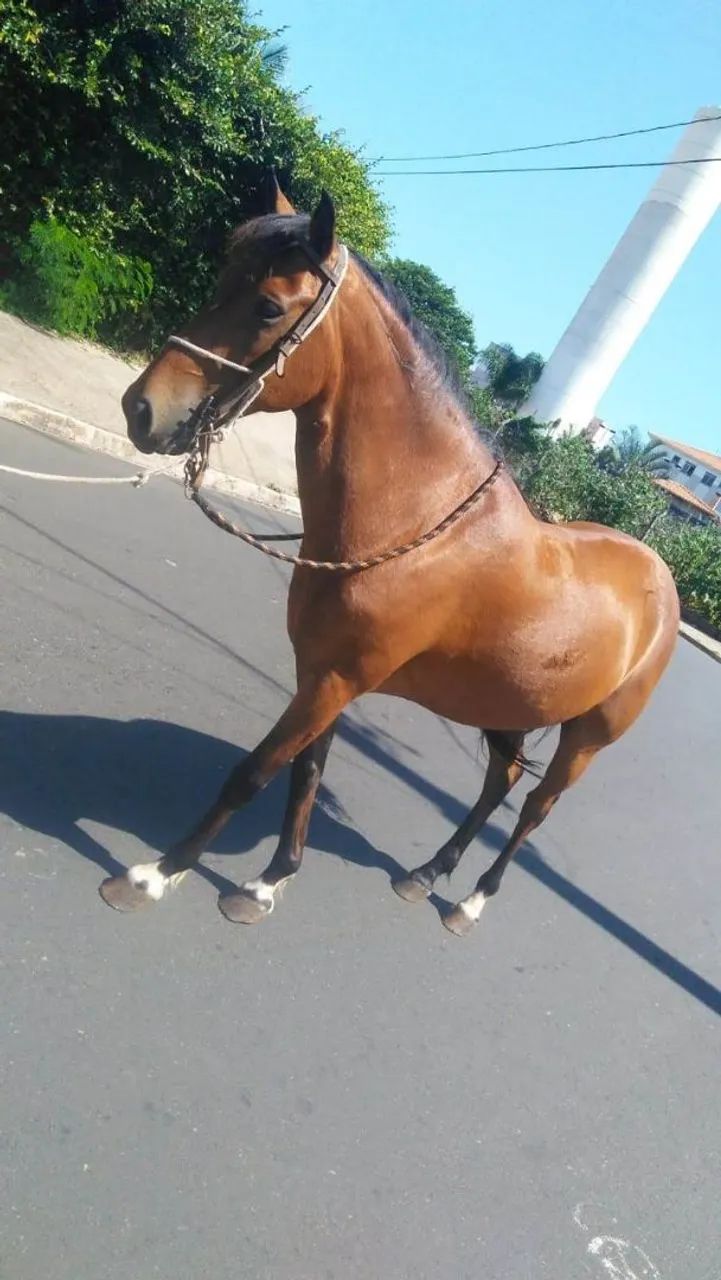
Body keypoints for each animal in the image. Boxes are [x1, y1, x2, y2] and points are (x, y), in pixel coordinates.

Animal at [100, 175, 679, 937]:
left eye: (267, 306)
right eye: (221, 278)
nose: (142, 410)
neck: (413, 521)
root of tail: (661, 578)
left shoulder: (337, 679)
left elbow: (254, 772)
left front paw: (155, 875)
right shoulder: (325, 672)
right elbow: (306, 768)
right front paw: (267, 882)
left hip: (586, 736)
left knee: (534, 808)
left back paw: (469, 900)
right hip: (509, 700)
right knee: (501, 779)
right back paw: (427, 873)